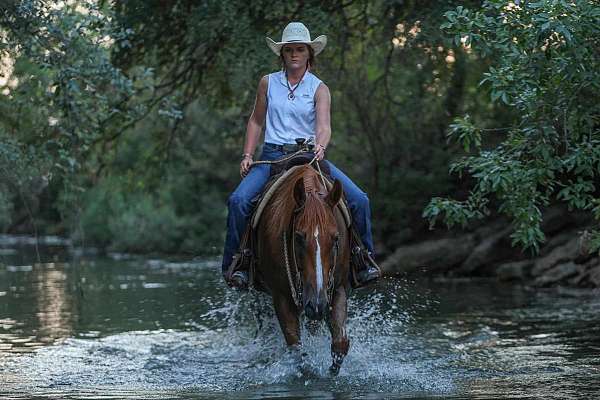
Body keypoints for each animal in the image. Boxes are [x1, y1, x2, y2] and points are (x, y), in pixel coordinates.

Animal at [254, 163, 352, 376]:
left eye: (336, 238)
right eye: (298, 237)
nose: (316, 304)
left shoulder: (338, 288)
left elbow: (340, 343)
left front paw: (332, 371)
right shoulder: (281, 296)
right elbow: (296, 348)